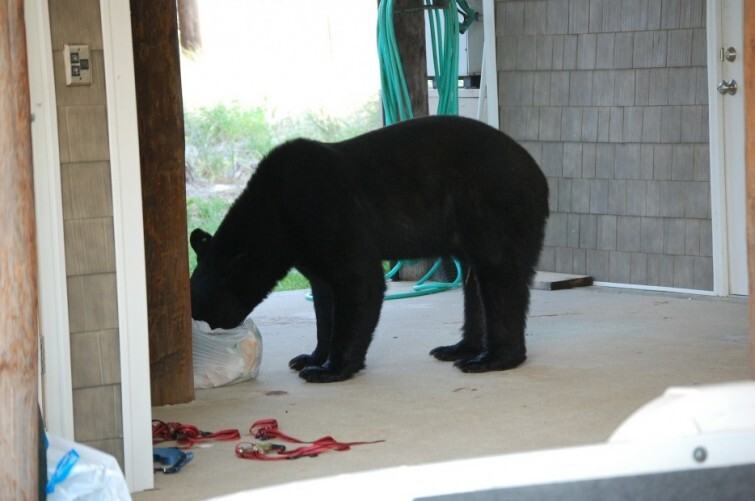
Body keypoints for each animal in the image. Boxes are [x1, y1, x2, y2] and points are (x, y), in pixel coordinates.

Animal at [190, 115, 548, 382]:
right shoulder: (308, 249)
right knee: (474, 287)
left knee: (498, 278)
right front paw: (310, 356)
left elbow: (360, 281)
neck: (277, 214)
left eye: (203, 308)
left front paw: (329, 369)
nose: (201, 332)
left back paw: (491, 359)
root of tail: (539, 177)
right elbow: (323, 297)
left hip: (495, 207)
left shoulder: (330, 215)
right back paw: (459, 349)